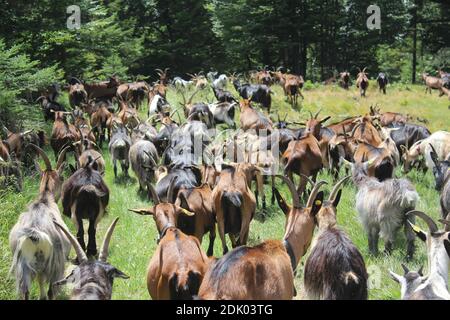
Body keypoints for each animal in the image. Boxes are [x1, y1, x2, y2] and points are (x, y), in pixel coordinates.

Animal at [8, 145, 69, 300]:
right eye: (62, 177)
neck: (44, 199)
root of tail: (34, 233)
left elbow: (40, 280)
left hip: (22, 265)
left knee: (25, 291)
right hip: (55, 264)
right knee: (52, 289)